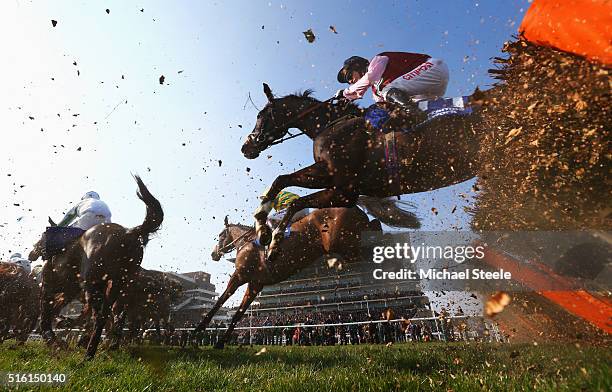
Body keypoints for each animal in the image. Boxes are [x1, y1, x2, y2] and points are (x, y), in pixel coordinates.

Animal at [27, 176, 164, 360]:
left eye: (41, 236)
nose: (31, 254)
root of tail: (130, 233)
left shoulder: (49, 284)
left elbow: (45, 315)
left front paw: (54, 340)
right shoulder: (69, 291)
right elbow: (56, 310)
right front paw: (62, 332)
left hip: (92, 284)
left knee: (101, 315)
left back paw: (89, 353)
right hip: (118, 284)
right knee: (110, 315)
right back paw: (99, 346)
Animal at [196, 208, 380, 350]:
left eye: (221, 235)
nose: (213, 254)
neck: (247, 243)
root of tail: (356, 209)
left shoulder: (240, 276)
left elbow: (221, 300)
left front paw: (199, 329)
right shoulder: (255, 284)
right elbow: (238, 313)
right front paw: (220, 342)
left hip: (347, 246)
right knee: (374, 227)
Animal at [241, 84, 486, 258]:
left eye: (260, 116)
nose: (246, 147)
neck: (332, 125)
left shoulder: (344, 191)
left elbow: (295, 201)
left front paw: (274, 241)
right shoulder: (331, 178)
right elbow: (281, 180)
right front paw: (262, 227)